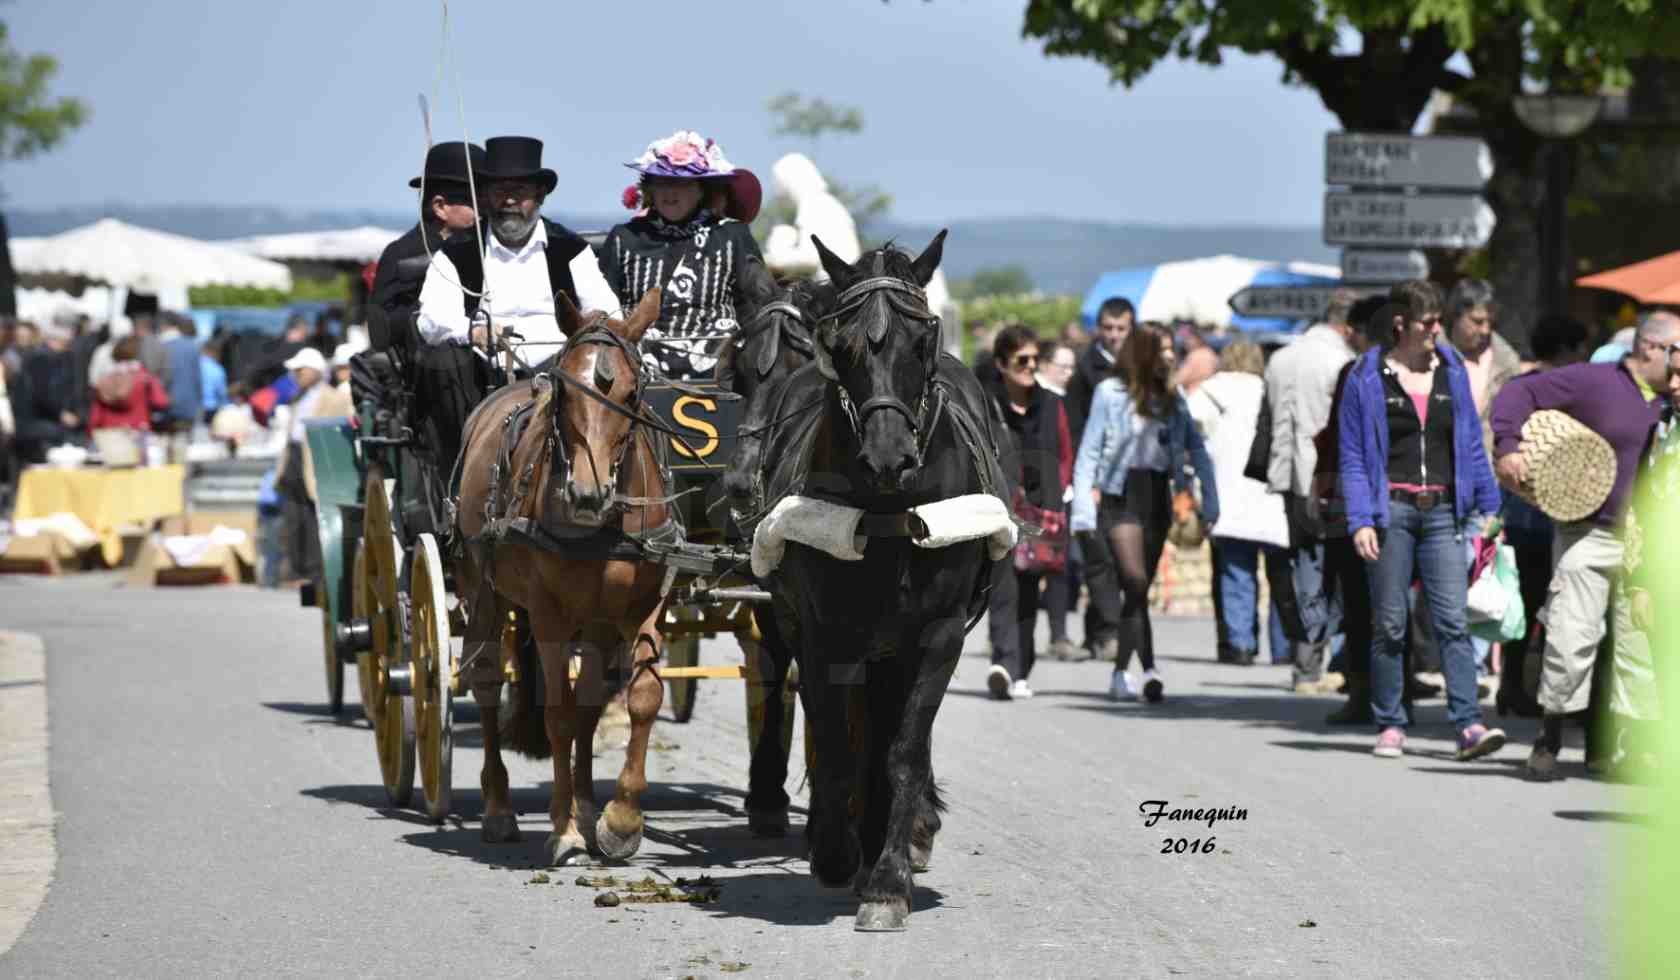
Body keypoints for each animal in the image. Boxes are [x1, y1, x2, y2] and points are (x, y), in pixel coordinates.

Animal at [456, 285, 672, 867]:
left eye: (632, 392)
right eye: (563, 390)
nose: (586, 495)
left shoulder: (643, 607)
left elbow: (639, 697)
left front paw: (619, 820)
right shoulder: (548, 615)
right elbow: (556, 713)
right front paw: (565, 830)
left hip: (595, 623)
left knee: (591, 704)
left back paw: (589, 807)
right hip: (483, 589)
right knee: (487, 679)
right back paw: (499, 808)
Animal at [742, 233, 1001, 934]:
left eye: (924, 337)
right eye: (842, 343)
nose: (889, 456)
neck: (886, 510)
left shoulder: (938, 635)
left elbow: (904, 748)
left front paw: (888, 879)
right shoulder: (824, 633)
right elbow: (834, 739)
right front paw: (835, 852)